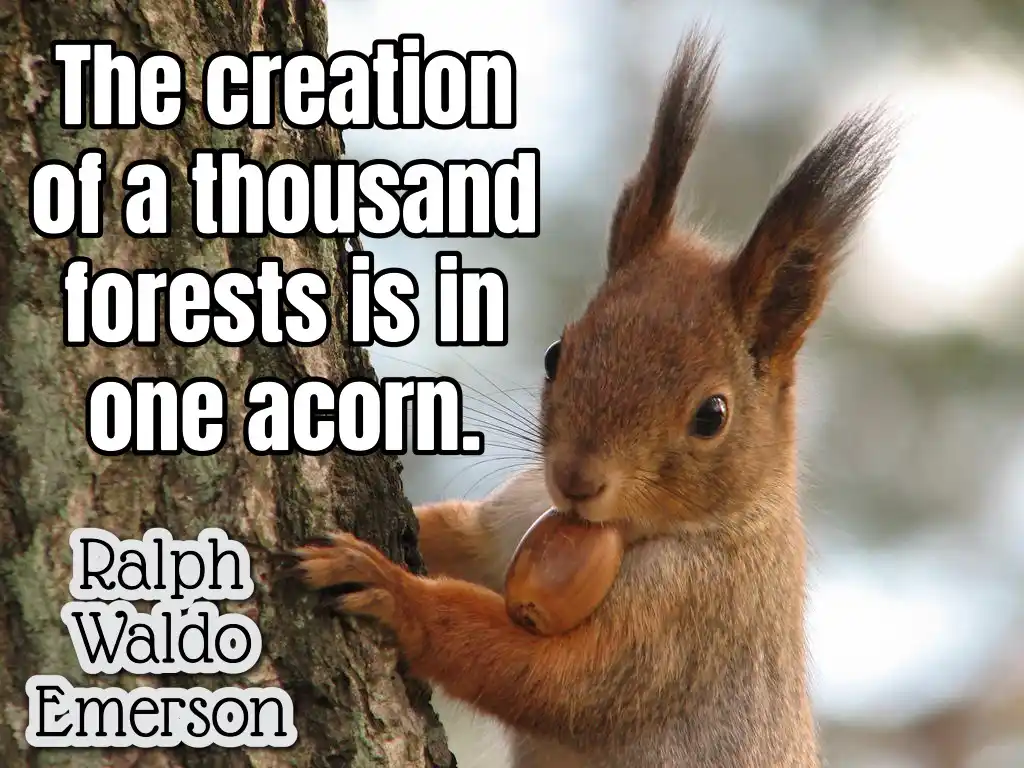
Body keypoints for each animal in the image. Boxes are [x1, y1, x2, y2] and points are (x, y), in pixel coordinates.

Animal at [290, 27, 895, 768]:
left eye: (712, 415)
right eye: (557, 353)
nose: (577, 478)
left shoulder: (687, 625)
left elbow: (556, 681)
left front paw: (388, 586)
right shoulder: (513, 517)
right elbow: (455, 534)